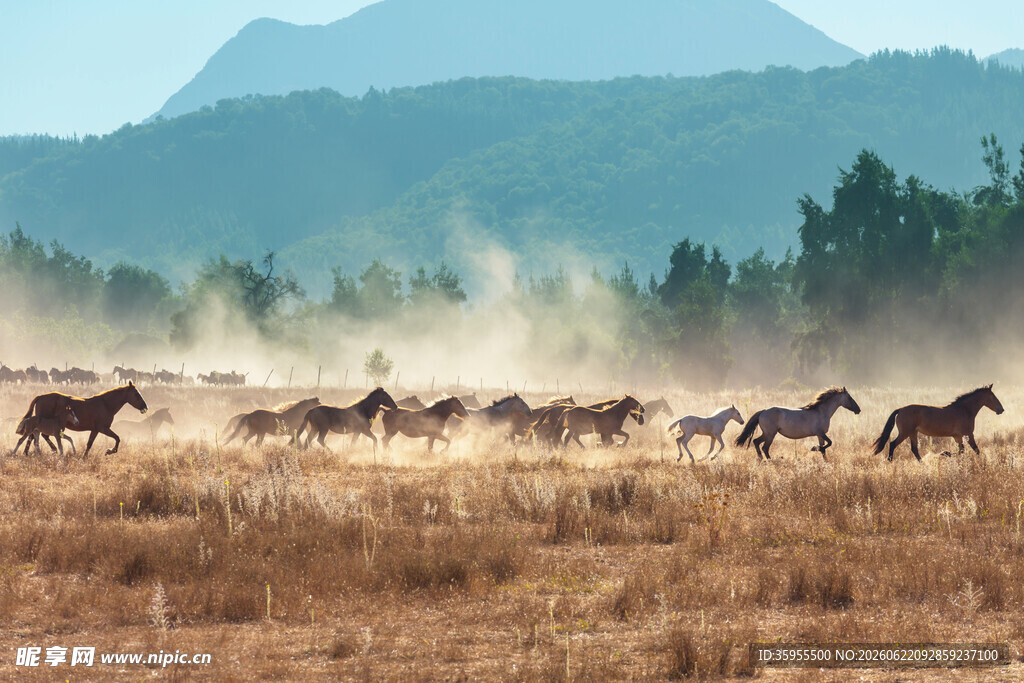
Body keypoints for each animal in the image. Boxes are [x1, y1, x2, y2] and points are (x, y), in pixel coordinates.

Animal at [18, 382, 149, 456]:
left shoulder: (95, 430)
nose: (145, 407)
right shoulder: (103, 428)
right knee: (35, 436)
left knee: (34, 437)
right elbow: (117, 438)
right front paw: (109, 451)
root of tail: (40, 397)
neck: (106, 404)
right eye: (136, 394)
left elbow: (89, 444)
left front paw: (84, 458)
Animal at [871, 385, 1004, 461]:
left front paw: (945, 453)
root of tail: (900, 409)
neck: (964, 410)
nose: (1001, 410)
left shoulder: (958, 436)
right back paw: (890, 461)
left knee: (914, 449)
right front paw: (945, 453)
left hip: (913, 433)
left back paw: (922, 463)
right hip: (905, 432)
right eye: (992, 396)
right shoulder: (968, 434)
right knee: (893, 444)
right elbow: (976, 450)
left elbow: (961, 451)